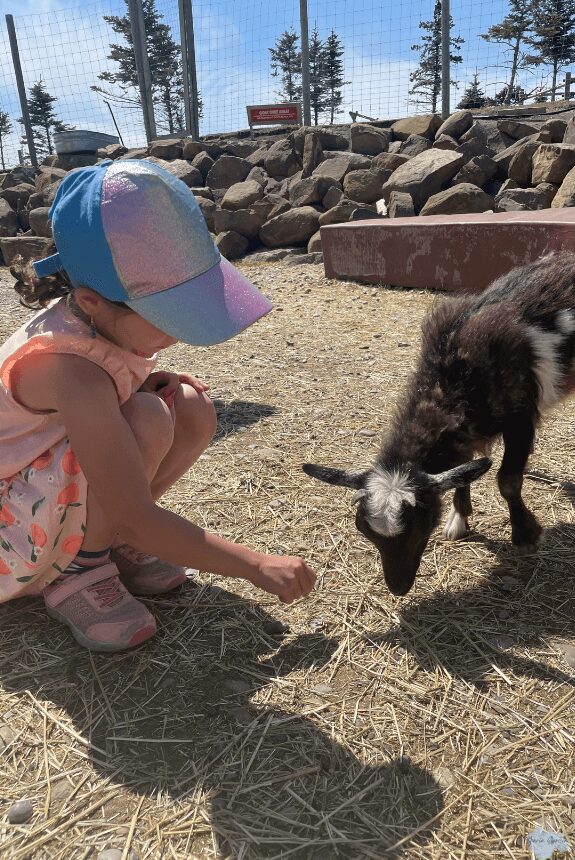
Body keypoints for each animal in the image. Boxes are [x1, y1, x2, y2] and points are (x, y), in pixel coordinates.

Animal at [304, 252, 572, 596]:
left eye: (421, 523)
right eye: (365, 530)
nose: (398, 586)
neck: (456, 372)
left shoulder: (520, 421)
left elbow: (508, 481)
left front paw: (525, 535)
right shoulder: (467, 432)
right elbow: (463, 473)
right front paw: (460, 520)